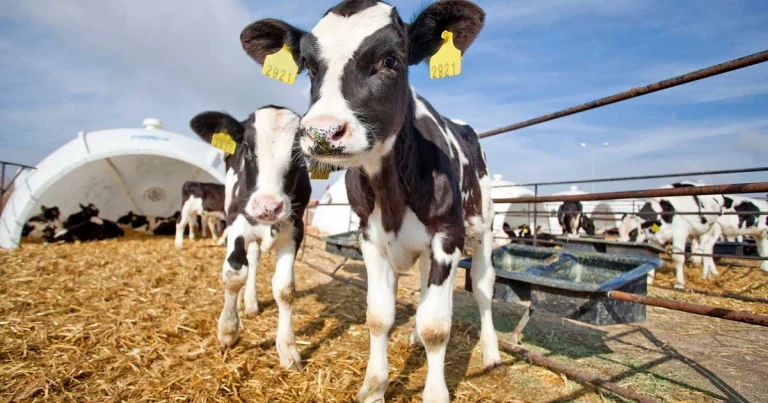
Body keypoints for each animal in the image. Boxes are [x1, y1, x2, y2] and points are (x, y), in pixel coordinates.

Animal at [189, 105, 311, 372]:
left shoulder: (295, 229)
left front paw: (287, 348)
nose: (268, 206)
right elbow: (235, 274)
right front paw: (227, 332)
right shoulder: (236, 220)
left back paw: (251, 302)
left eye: (299, 154)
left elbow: (285, 288)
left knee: (253, 259)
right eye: (246, 147)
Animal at [239, 2, 501, 401]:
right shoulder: (370, 238)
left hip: (483, 227)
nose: (322, 131)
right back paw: (414, 338)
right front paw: (374, 387)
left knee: (484, 288)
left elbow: (437, 326)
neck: (392, 192)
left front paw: (435, 392)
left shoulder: (447, 235)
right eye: (309, 65)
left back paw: (490, 353)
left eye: (391, 59)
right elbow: (379, 317)